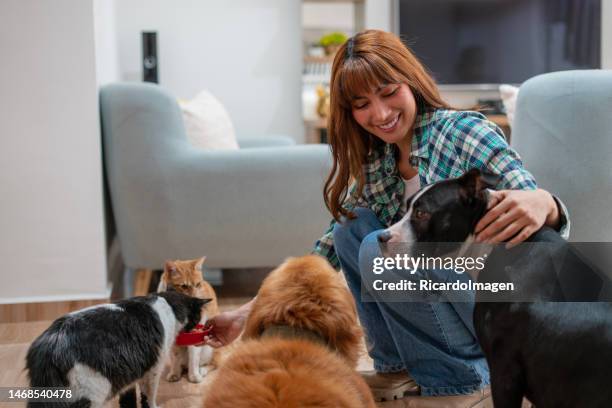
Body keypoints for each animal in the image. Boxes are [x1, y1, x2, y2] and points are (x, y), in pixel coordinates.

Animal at [25, 292, 210, 406]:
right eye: (197, 317)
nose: (197, 326)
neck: (168, 307)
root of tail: (51, 341)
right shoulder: (153, 370)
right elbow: (149, 397)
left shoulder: (129, 373)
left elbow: (128, 401)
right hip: (92, 391)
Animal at [157, 256, 219, 384]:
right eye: (184, 286)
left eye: (198, 284)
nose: (195, 297)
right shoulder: (173, 341)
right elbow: (175, 358)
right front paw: (174, 374)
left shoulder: (195, 336)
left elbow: (194, 359)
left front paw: (194, 376)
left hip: (209, 349)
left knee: (213, 363)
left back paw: (202, 370)